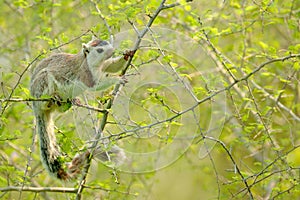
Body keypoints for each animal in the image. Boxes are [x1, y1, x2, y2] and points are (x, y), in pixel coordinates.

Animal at [29, 36, 132, 180]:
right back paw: (52, 98)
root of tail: (37, 110)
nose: (112, 51)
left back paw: (71, 101)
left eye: (109, 44)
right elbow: (95, 85)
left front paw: (127, 55)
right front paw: (117, 79)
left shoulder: (104, 65)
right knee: (45, 97)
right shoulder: (86, 74)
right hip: (42, 84)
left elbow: (112, 66)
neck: (91, 62)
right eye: (99, 50)